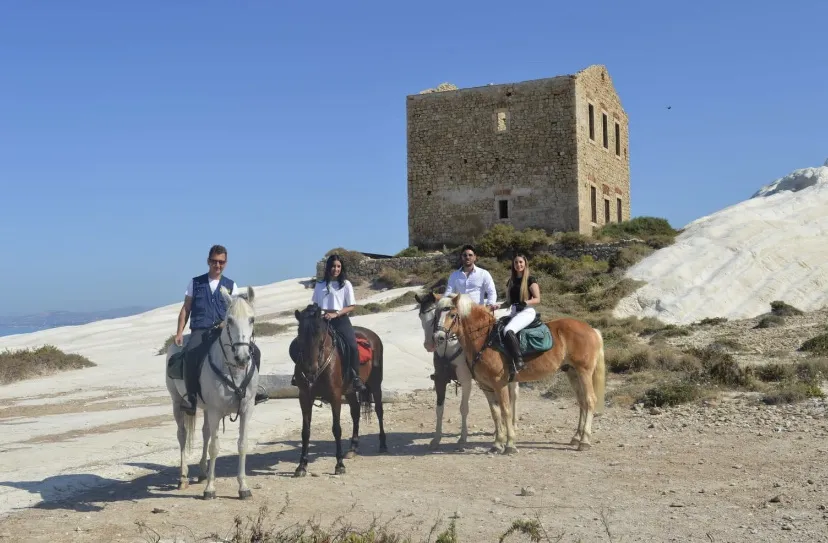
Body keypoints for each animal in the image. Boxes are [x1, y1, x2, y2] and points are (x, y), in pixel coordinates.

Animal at [165, 285, 259, 500]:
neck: (234, 372)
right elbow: (215, 448)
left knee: (205, 432)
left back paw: (202, 472)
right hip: (177, 403)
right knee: (182, 435)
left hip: (207, 409)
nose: (242, 358)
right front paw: (210, 488)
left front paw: (243, 487)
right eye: (229, 320)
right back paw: (183, 477)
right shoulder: (216, 411)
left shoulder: (246, 410)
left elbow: (242, 444)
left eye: (251, 319)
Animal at [291, 304, 387, 477]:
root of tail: (371, 335)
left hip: (375, 384)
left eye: (319, 332)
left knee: (379, 411)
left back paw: (383, 445)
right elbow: (305, 431)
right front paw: (301, 466)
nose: (309, 369)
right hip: (349, 391)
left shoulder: (335, 396)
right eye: (299, 333)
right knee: (355, 412)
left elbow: (336, 429)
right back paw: (353, 448)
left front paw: (339, 465)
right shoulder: (305, 397)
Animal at [414, 292, 519, 449]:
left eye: (433, 318)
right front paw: (436, 438)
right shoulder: (440, 380)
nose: (430, 343)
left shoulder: (466, 381)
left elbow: (464, 408)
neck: (448, 351)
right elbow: (439, 409)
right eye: (420, 316)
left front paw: (462, 438)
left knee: (512, 397)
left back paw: (511, 426)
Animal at [433, 293, 605, 454]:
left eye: (452, 315)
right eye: (436, 314)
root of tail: (591, 330)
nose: (438, 338)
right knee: (582, 402)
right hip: (572, 372)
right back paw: (576, 437)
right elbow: (495, 413)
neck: (484, 339)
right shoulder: (486, 387)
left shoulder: (499, 384)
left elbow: (506, 411)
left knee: (589, 400)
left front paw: (509, 444)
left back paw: (584, 441)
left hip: (584, 372)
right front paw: (497, 444)